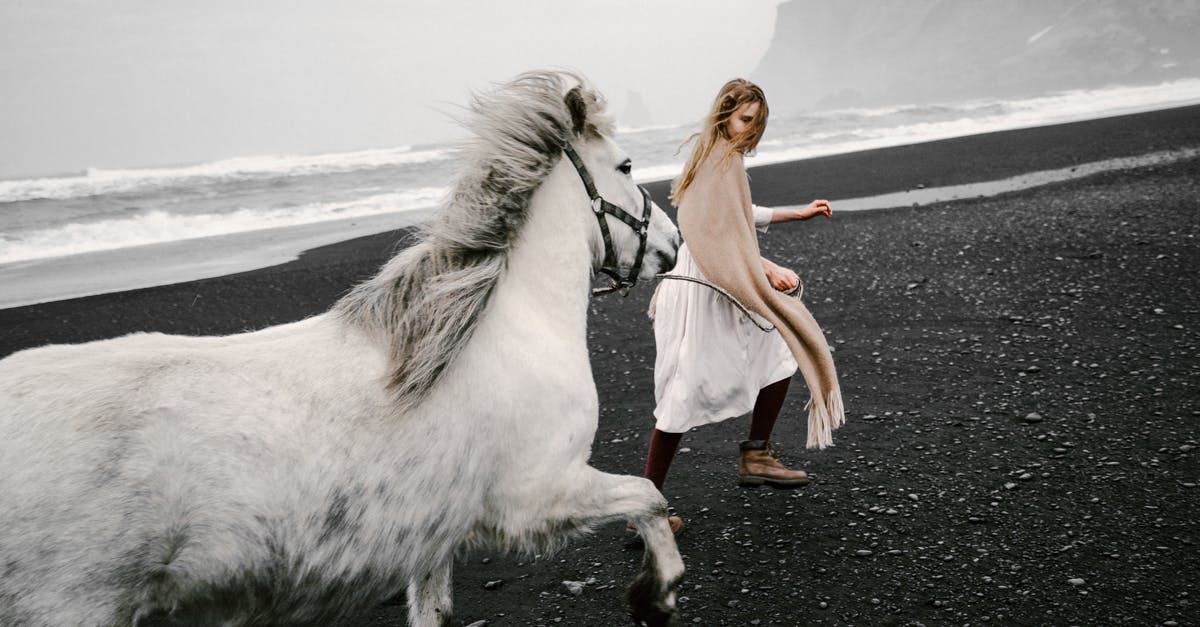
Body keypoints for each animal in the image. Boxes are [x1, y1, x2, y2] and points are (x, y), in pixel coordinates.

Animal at [0, 70, 686, 619]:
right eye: (627, 167)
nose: (674, 243)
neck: (507, 327)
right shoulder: (539, 495)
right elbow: (648, 497)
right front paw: (655, 596)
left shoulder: (433, 535)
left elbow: (431, 612)